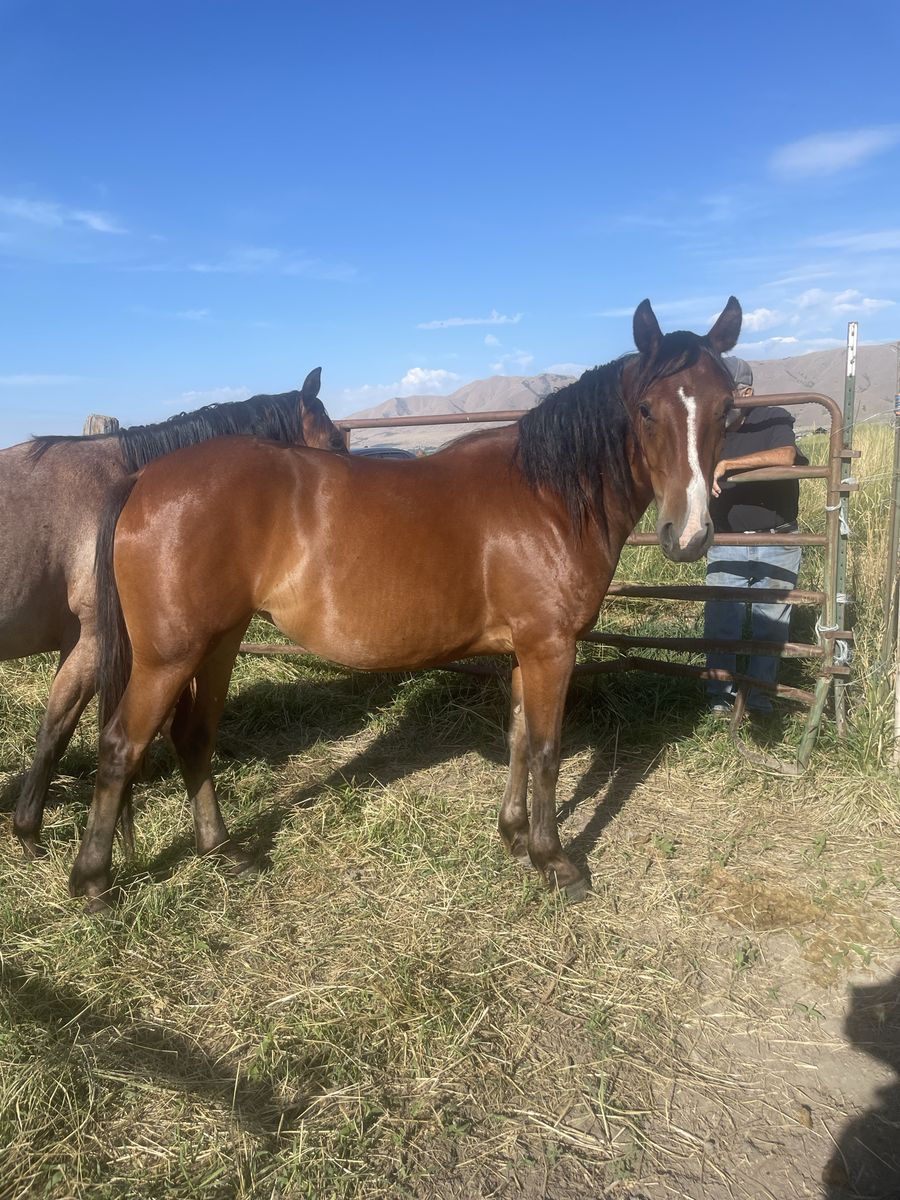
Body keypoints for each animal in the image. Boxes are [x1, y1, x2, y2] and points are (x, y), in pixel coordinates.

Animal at [69, 298, 742, 910]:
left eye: (727, 409)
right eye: (646, 409)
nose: (689, 535)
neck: (547, 496)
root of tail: (142, 478)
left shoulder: (526, 649)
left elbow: (519, 739)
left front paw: (514, 837)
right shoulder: (551, 647)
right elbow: (547, 752)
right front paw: (556, 861)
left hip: (219, 641)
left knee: (193, 735)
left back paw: (222, 851)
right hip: (167, 656)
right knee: (121, 745)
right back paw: (93, 882)